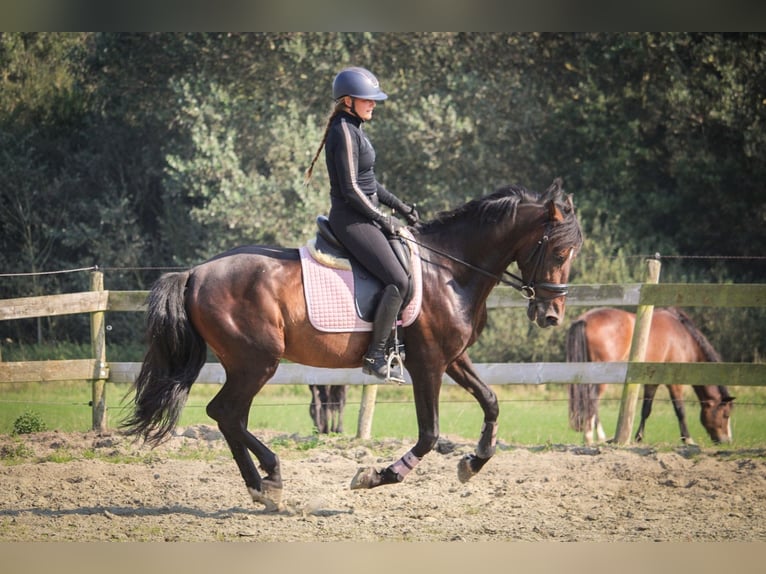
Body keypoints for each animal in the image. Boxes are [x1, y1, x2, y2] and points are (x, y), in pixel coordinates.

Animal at [124, 178, 584, 510]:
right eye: (559, 252)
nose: (551, 315)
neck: (449, 269)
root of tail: (195, 273)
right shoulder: (428, 364)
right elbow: (429, 434)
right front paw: (376, 476)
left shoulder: (453, 358)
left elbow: (490, 401)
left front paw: (473, 462)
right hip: (256, 362)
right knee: (226, 413)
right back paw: (268, 482)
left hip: (246, 365)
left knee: (230, 417)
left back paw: (264, 485)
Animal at [568, 308, 736, 448]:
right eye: (726, 415)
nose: (727, 441)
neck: (684, 338)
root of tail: (584, 319)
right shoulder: (674, 383)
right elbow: (680, 410)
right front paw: (688, 439)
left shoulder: (652, 382)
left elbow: (646, 410)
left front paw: (638, 438)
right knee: (592, 400)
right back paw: (592, 437)